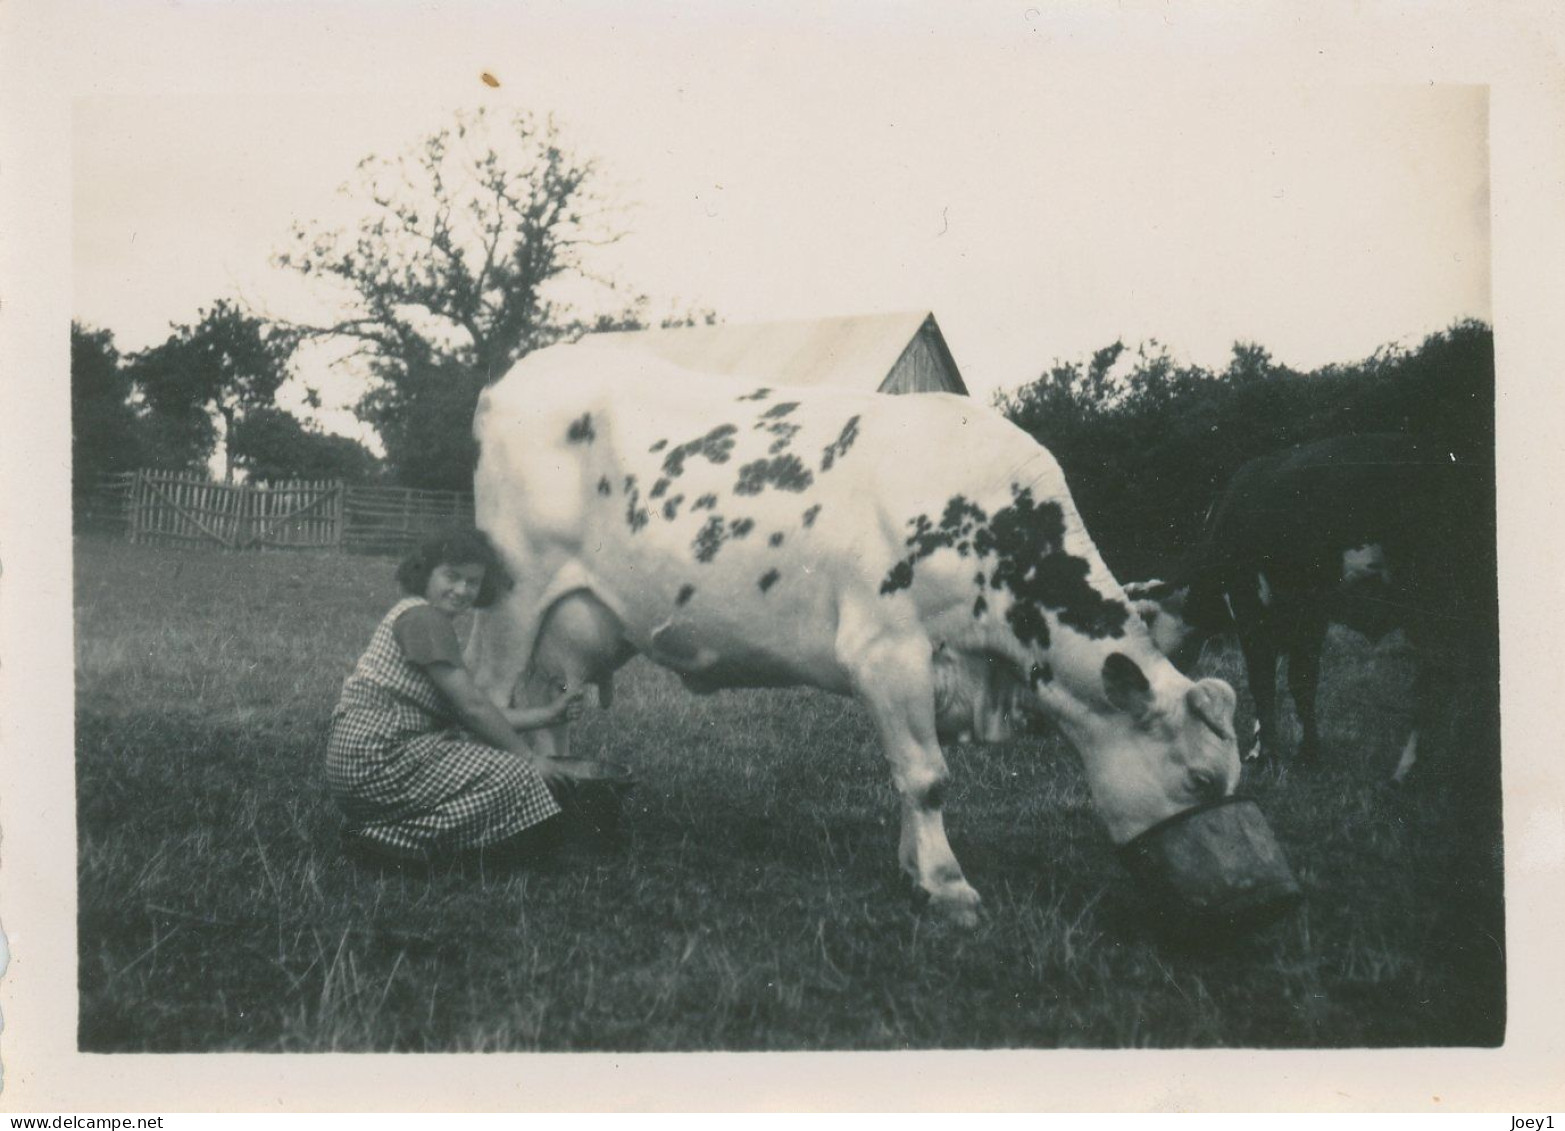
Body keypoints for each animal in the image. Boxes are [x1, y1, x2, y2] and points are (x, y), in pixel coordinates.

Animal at [463, 341, 1245, 926]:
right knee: (489, 700)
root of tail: (517, 374)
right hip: (511, 596)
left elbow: (909, 776)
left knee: (546, 714)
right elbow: (927, 776)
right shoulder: (886, 650)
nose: (1253, 897)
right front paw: (946, 886)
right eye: (1200, 778)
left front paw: (913, 870)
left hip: (578, 623)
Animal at [1126, 434, 1489, 788]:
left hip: (1430, 596)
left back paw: (1406, 772)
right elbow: (1301, 681)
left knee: (1437, 677)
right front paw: (1296, 752)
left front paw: (1270, 757)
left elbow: (1263, 683)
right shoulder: (1306, 615)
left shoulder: (1250, 606)